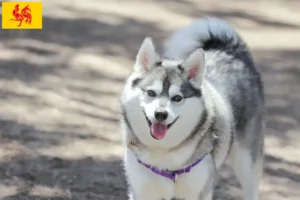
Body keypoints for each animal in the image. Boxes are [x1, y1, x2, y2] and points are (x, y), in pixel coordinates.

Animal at [119, 17, 264, 200]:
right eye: (151, 93)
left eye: (177, 98)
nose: (160, 114)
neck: (165, 153)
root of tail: (229, 51)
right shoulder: (142, 191)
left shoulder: (199, 191)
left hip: (247, 162)